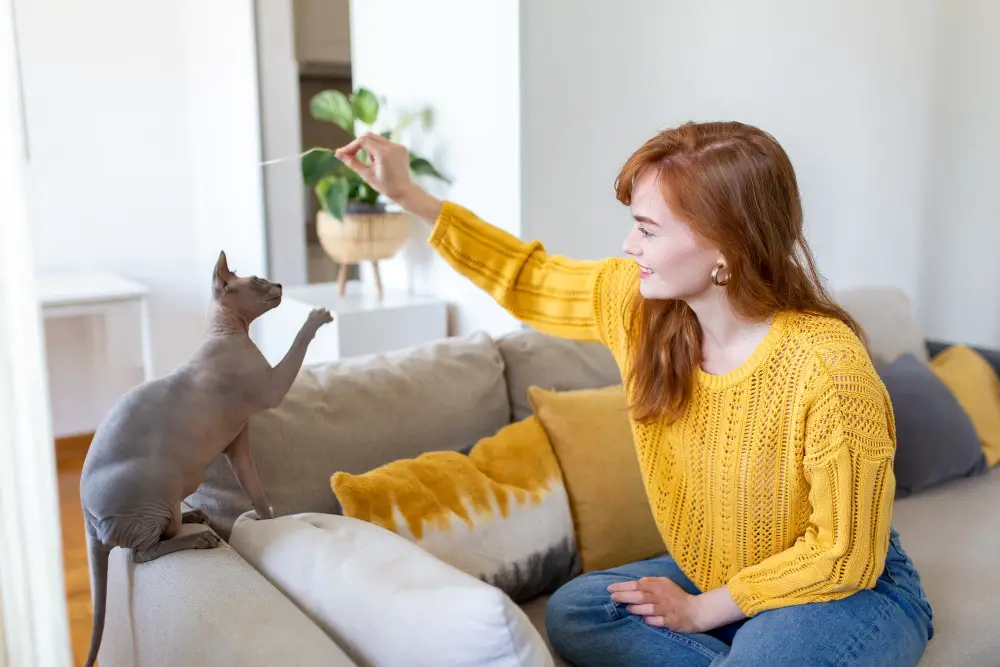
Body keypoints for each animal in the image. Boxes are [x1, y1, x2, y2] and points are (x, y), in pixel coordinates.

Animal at [81, 252, 332, 667]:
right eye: (259, 280)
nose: (280, 285)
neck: (227, 333)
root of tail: (87, 519)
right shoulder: (271, 388)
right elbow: (297, 344)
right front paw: (316, 318)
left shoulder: (238, 442)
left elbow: (256, 491)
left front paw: (267, 520)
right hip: (155, 494)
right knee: (142, 553)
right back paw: (199, 538)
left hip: (166, 500)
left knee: (160, 534)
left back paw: (195, 516)